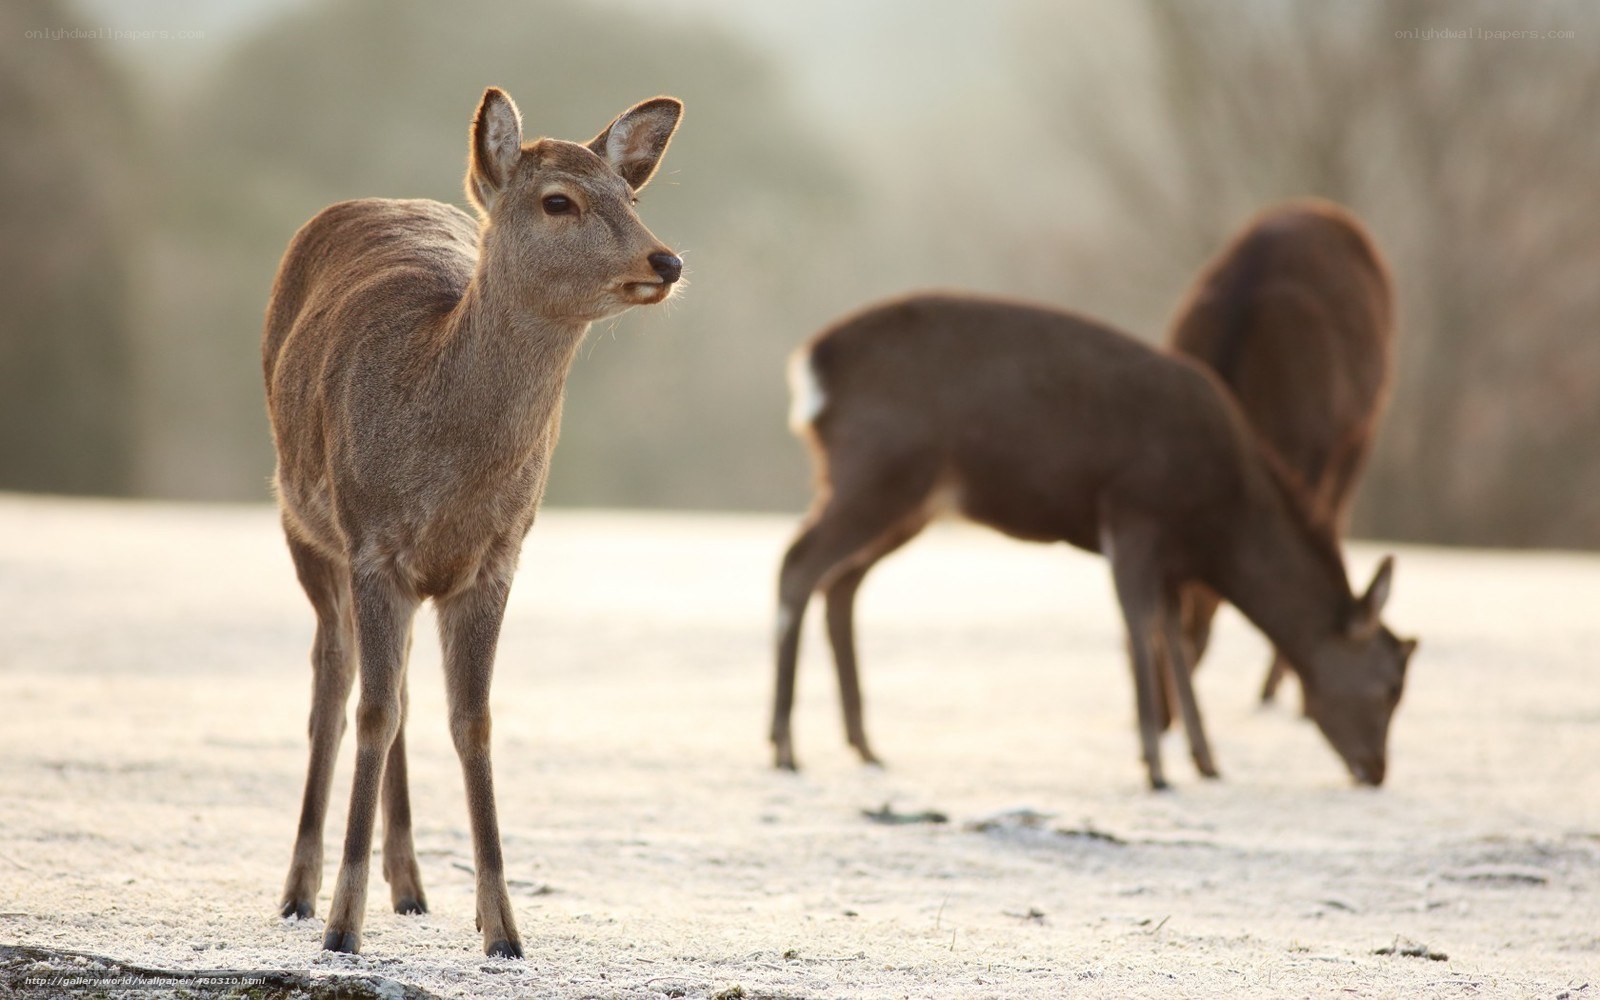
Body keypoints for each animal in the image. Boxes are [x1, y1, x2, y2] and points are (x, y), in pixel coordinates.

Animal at [262, 87, 683, 957]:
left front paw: (504, 929)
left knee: (395, 689)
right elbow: (372, 712)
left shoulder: (498, 557)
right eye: (558, 200)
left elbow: (474, 721)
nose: (666, 262)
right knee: (335, 683)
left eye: (631, 197)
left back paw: (411, 886)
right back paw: (299, 892)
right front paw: (342, 928)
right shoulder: (373, 544)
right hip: (301, 520)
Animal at [771, 293, 1418, 790]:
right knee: (798, 564)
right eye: (1390, 686)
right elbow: (1139, 628)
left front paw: (1206, 761)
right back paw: (784, 747)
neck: (1219, 520)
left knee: (841, 584)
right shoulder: (1133, 513)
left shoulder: (1168, 558)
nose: (1377, 770)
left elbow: (1170, 638)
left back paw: (863, 745)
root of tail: (811, 366)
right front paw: (1155, 768)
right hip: (879, 469)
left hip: (907, 500)